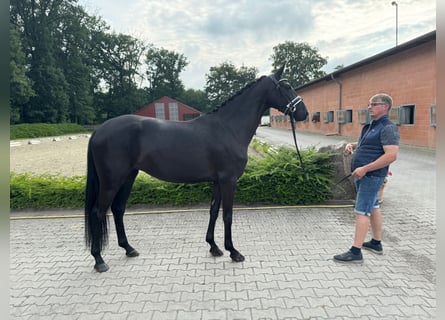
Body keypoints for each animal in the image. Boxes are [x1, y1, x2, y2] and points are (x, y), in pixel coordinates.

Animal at [86, 66, 308, 272]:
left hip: (128, 177)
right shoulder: (229, 181)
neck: (228, 128)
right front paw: (233, 251)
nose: (304, 113)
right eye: (287, 86)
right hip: (111, 181)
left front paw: (214, 247)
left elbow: (214, 211)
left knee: (118, 209)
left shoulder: (218, 181)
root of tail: (99, 130)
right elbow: (228, 215)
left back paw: (129, 248)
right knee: (98, 211)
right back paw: (99, 260)